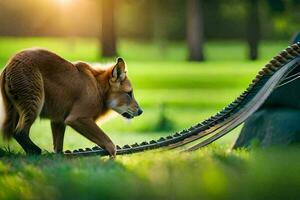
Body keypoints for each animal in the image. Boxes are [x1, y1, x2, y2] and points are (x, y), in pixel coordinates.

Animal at [0, 48, 142, 156]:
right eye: (129, 93)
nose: (141, 111)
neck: (98, 87)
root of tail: (8, 65)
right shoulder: (76, 118)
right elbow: (110, 145)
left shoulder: (58, 120)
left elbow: (58, 150)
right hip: (35, 105)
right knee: (19, 132)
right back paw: (36, 152)